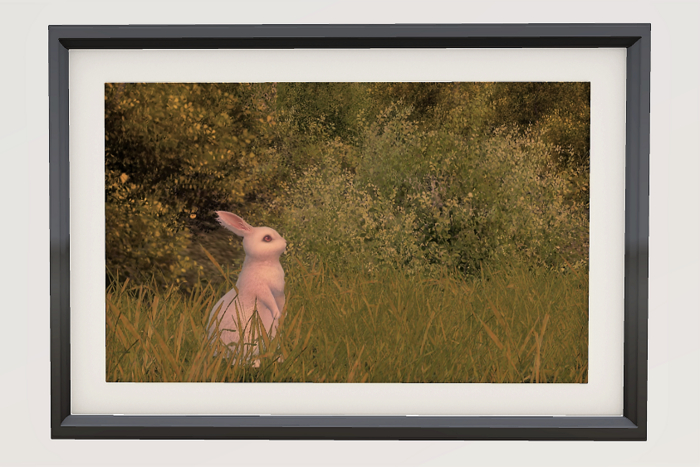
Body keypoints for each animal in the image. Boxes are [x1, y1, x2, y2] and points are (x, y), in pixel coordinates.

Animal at [206, 211, 286, 366]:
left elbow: (281, 302)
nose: (285, 242)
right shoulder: (261, 289)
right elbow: (269, 300)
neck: (266, 262)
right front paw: (276, 314)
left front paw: (281, 315)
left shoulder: (279, 292)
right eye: (267, 238)